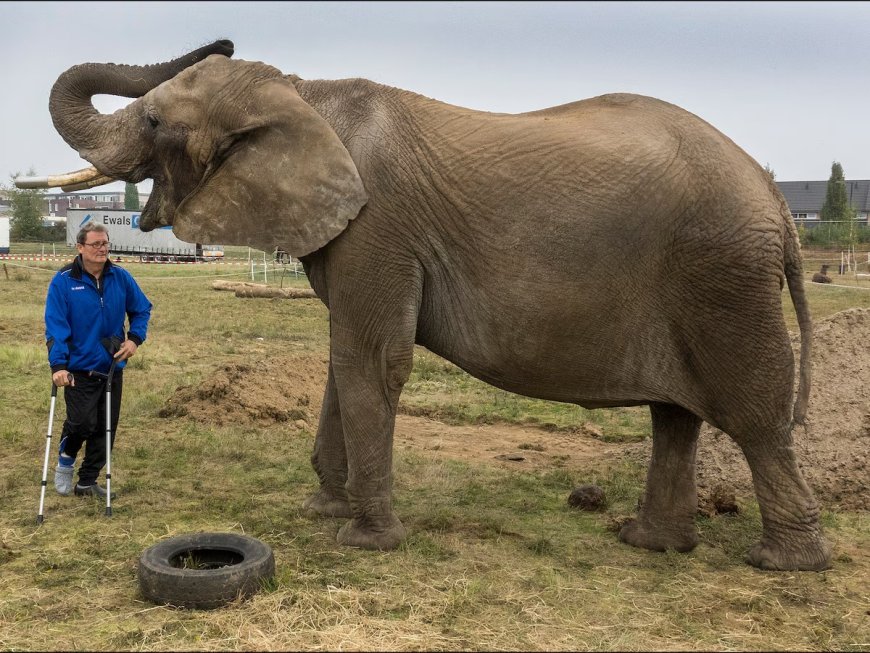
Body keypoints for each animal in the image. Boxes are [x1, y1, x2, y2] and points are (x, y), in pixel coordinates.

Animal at [34, 42, 836, 572]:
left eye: (155, 123)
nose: (226, 37)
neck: (305, 94)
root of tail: (776, 202)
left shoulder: (379, 228)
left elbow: (371, 361)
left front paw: (365, 541)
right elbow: (342, 358)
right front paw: (326, 512)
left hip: (722, 277)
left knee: (756, 418)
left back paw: (783, 563)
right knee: (676, 416)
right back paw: (651, 543)